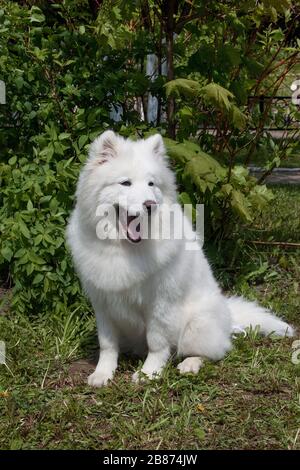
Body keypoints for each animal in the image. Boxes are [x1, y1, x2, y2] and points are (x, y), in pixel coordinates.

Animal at [67, 130, 294, 388]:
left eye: (151, 184)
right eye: (125, 183)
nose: (149, 205)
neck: (123, 248)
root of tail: (227, 313)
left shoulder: (160, 303)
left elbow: (157, 343)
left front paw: (148, 373)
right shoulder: (103, 304)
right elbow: (107, 345)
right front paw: (103, 373)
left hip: (196, 325)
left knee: (213, 351)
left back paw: (190, 364)